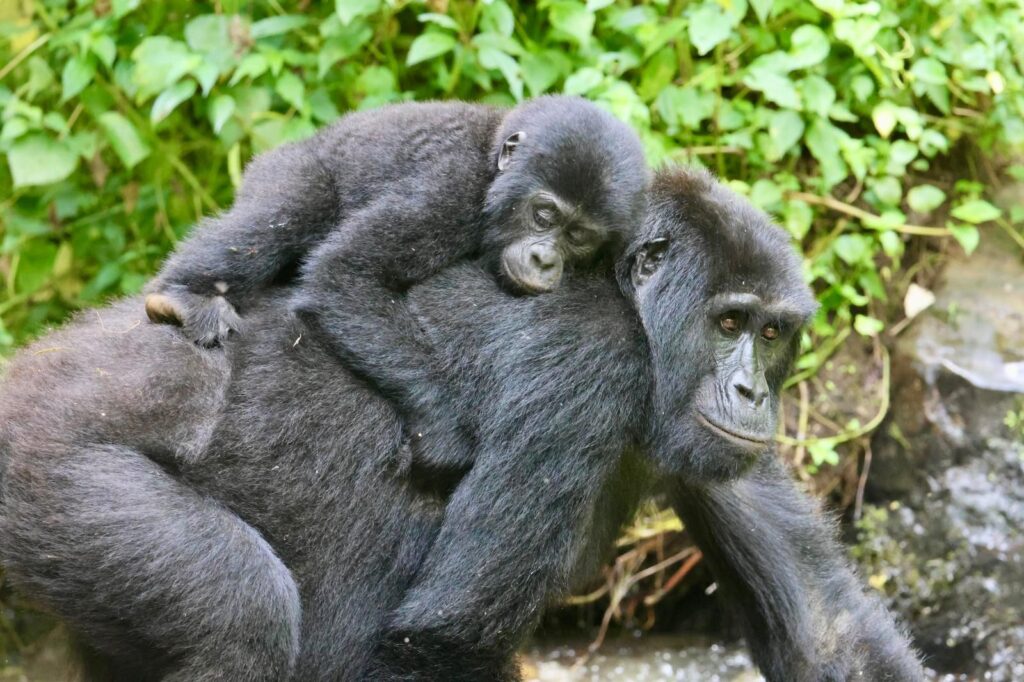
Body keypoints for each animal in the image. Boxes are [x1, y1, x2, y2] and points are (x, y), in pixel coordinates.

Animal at [0, 166, 917, 675]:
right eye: (728, 323)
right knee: (242, 614)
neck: (622, 293)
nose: (754, 394)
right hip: (50, 472)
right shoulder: (588, 362)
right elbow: (436, 642)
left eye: (774, 334)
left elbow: (828, 634)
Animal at [147, 94, 643, 466]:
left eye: (578, 236)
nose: (544, 258)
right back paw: (184, 294)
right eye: (544, 215)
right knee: (284, 216)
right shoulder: (451, 190)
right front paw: (443, 431)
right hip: (286, 170)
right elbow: (346, 271)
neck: (494, 164)